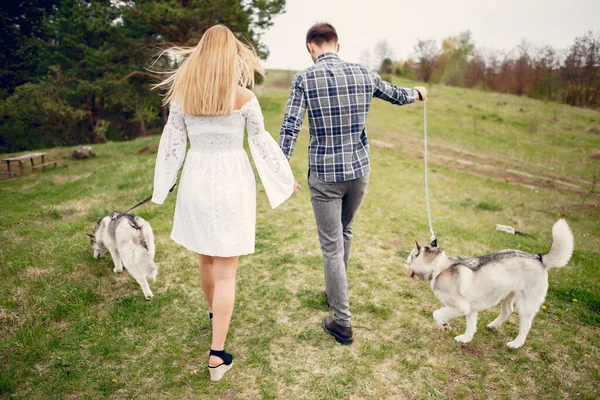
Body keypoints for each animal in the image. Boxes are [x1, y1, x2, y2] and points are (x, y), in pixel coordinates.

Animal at [406, 219, 576, 346]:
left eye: (412, 255)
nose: (406, 259)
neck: (439, 267)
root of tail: (539, 258)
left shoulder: (461, 307)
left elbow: (437, 314)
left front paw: (445, 326)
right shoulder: (471, 309)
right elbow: (470, 326)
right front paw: (466, 339)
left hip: (525, 305)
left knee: (526, 326)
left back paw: (515, 344)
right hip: (506, 296)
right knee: (507, 311)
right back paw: (494, 325)